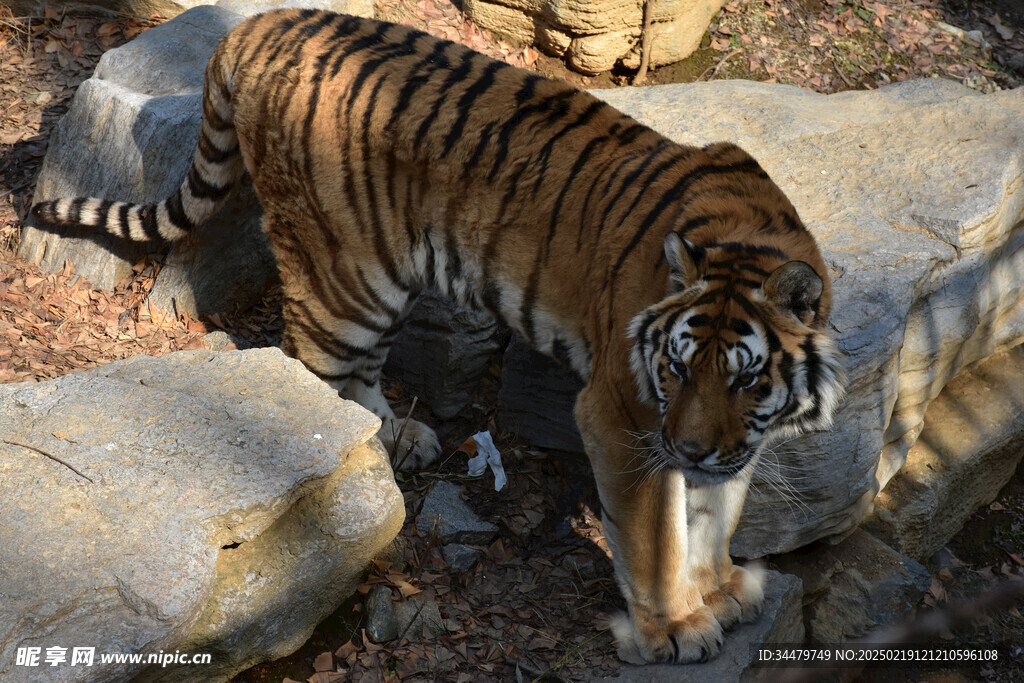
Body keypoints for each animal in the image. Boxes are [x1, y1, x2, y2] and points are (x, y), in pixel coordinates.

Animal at [34, 7, 847, 663]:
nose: (694, 448)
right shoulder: (623, 413)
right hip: (345, 278)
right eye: (676, 369)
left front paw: (721, 585)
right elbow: (654, 536)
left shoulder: (728, 437)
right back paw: (361, 486)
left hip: (377, 278)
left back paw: (399, 439)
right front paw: (674, 627)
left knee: (359, 374)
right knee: (313, 370)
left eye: (745, 378)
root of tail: (259, 24)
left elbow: (716, 511)